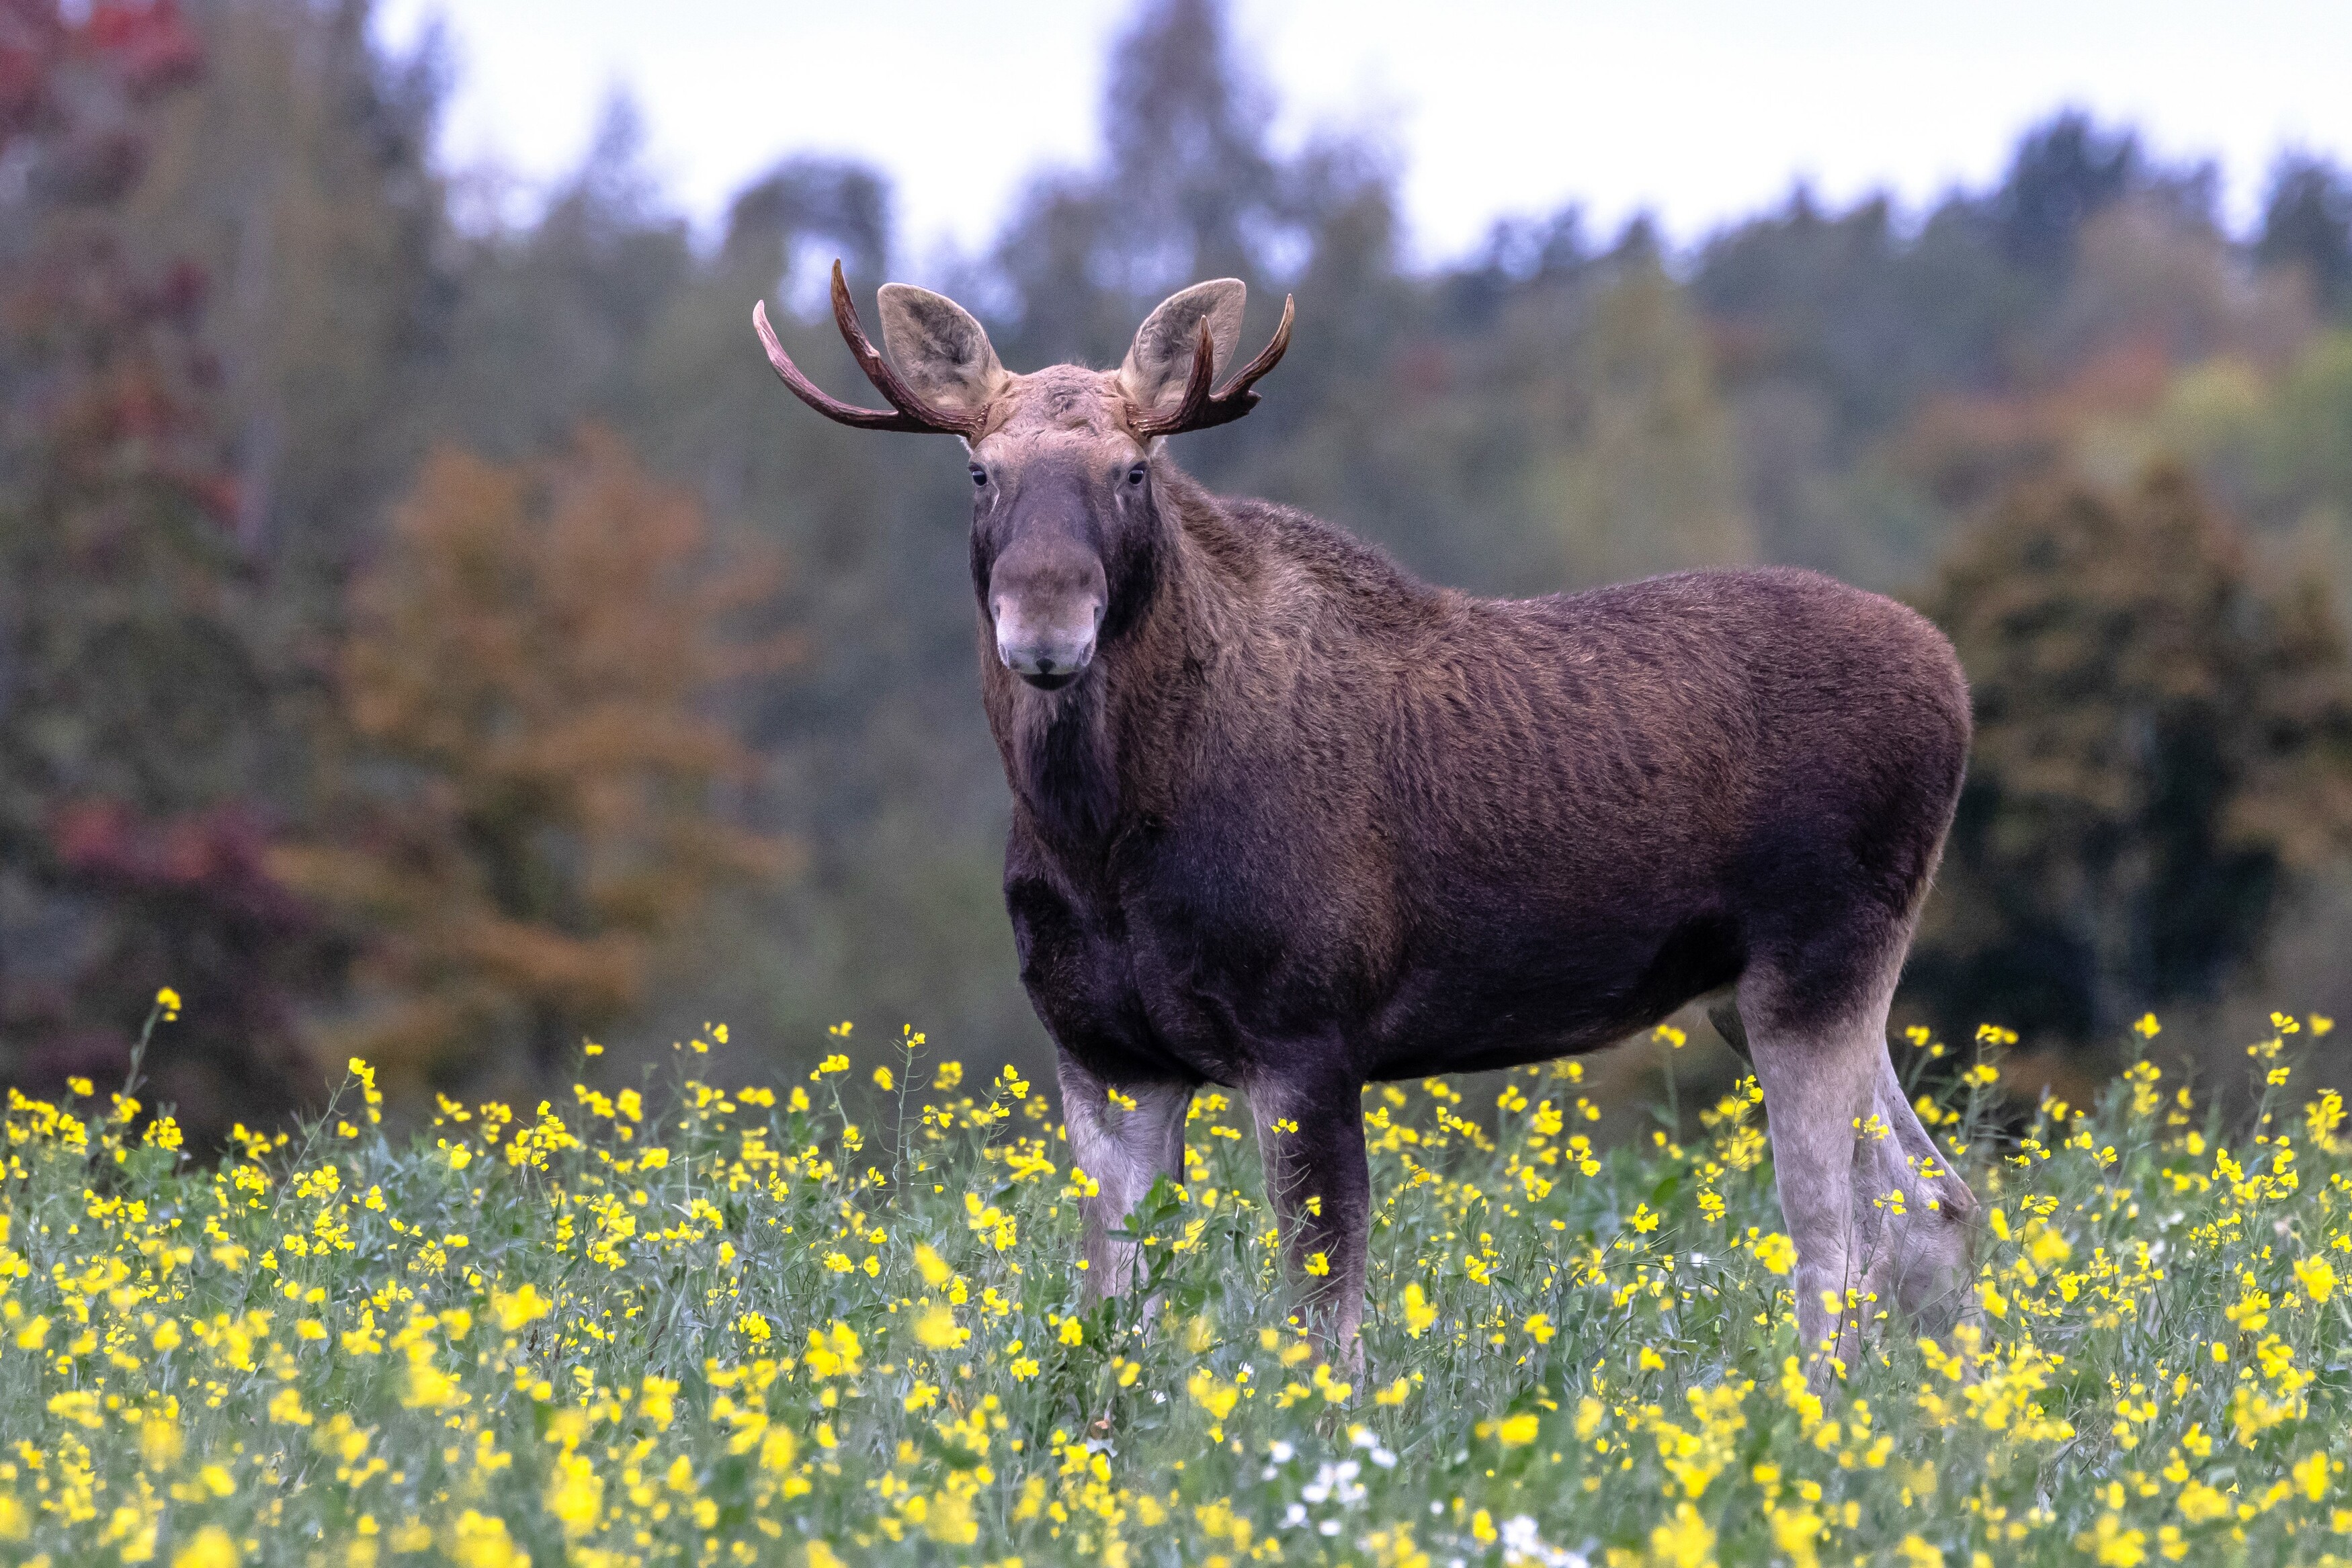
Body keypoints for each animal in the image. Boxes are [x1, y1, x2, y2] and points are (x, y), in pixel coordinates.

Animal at [748, 261, 1966, 1373]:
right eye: (979, 470)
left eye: (1134, 469)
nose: (1044, 626)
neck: (1101, 843)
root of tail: (1955, 679)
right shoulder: (1105, 1052)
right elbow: (1113, 1307)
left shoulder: (1306, 1029)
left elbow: (1324, 1312)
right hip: (1752, 988)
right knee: (1933, 1196)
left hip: (1820, 957)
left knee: (1837, 1226)